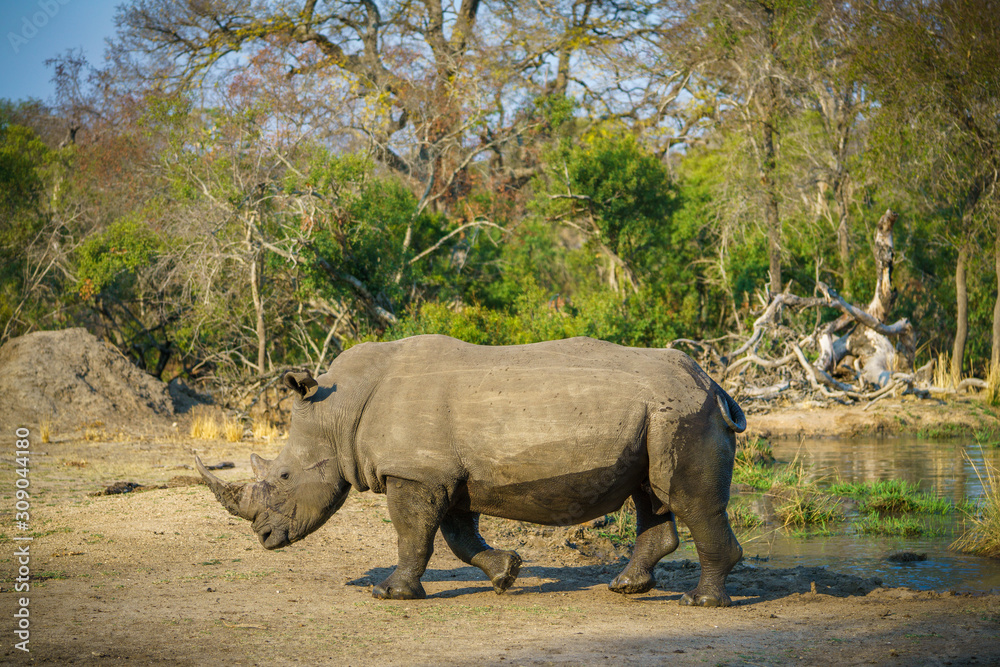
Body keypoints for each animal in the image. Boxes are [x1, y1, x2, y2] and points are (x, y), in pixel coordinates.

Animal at [197, 335, 747, 606]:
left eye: (284, 478)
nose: (264, 537)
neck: (337, 412)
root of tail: (713, 382)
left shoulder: (415, 474)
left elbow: (412, 536)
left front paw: (390, 594)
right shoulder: (444, 476)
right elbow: (458, 538)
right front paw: (505, 574)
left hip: (684, 413)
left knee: (689, 500)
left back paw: (700, 603)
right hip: (662, 416)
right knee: (651, 493)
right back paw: (626, 589)